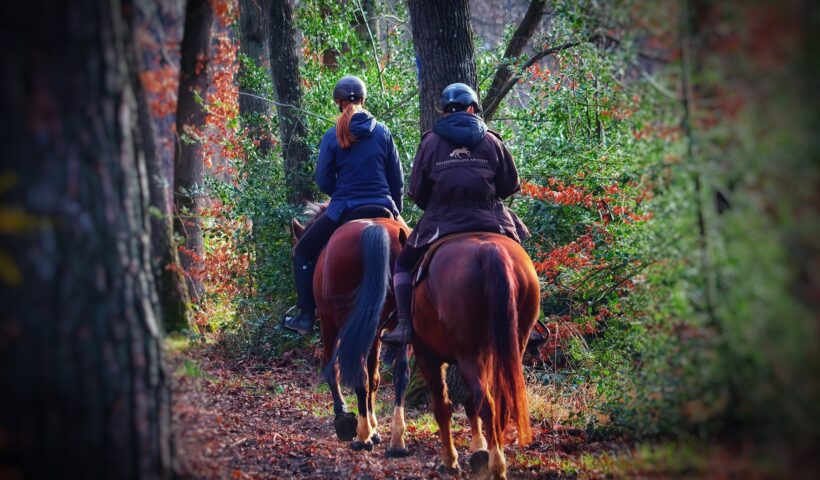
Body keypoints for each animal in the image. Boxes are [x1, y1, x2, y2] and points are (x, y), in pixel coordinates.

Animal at [292, 206, 414, 454]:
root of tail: (375, 230)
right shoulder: (375, 333)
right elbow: (375, 378)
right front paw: (375, 428)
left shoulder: (329, 322)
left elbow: (332, 369)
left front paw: (344, 417)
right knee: (400, 374)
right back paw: (396, 440)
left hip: (340, 320)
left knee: (356, 372)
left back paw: (361, 437)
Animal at [402, 232, 540, 476]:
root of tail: (489, 250)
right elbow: (469, 403)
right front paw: (478, 445)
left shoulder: (428, 356)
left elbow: (442, 407)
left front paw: (450, 460)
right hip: (511, 344)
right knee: (499, 403)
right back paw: (496, 454)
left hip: (468, 355)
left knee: (487, 405)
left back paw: (496, 465)